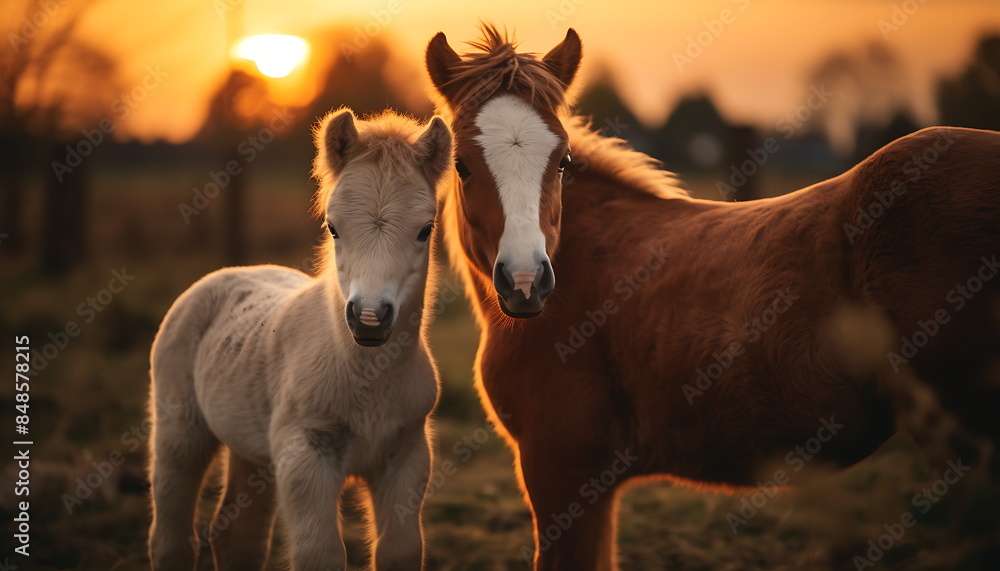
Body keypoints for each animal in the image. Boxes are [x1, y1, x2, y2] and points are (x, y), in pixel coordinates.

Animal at [146, 108, 452, 571]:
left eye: (425, 229)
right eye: (333, 227)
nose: (369, 319)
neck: (367, 377)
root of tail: (231, 273)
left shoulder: (407, 454)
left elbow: (399, 549)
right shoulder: (305, 455)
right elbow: (320, 553)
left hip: (251, 450)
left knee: (238, 536)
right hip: (180, 433)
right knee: (172, 534)